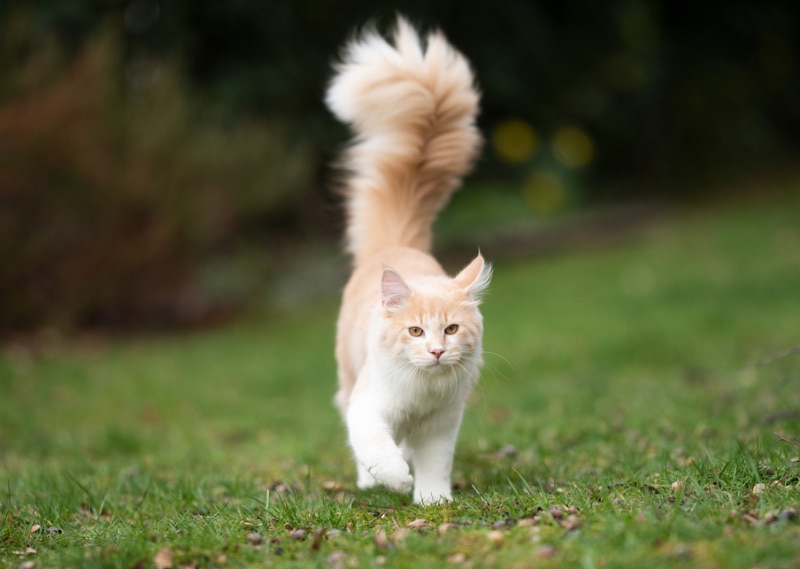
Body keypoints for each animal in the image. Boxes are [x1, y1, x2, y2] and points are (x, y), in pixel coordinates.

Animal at [324, 15, 488, 504]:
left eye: (451, 330)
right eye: (415, 331)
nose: (436, 351)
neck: (423, 392)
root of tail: (393, 246)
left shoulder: (442, 424)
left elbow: (435, 464)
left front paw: (432, 499)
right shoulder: (367, 406)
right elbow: (376, 447)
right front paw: (394, 479)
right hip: (347, 378)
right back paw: (368, 482)